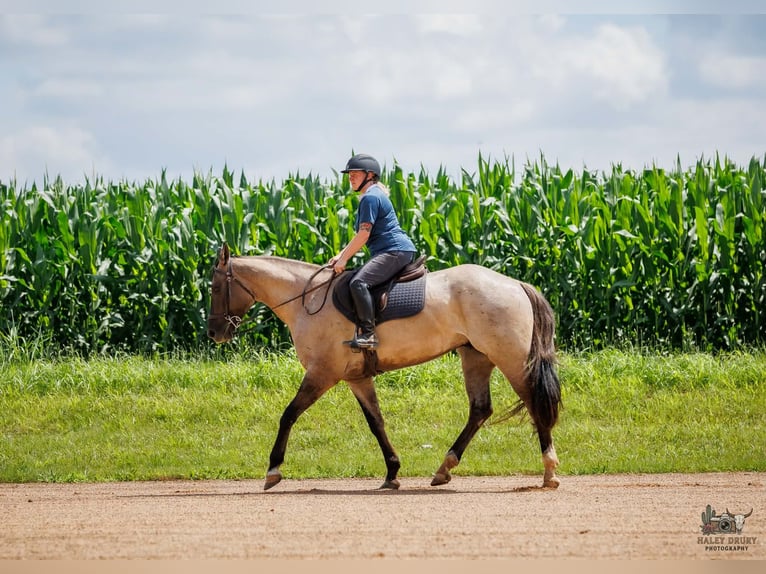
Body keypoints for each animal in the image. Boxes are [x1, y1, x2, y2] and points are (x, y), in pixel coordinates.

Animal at [207, 243, 562, 491]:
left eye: (214, 287)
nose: (214, 333)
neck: (307, 300)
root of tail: (515, 284)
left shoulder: (322, 374)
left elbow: (289, 415)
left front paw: (273, 470)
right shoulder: (356, 378)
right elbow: (376, 422)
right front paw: (392, 471)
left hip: (510, 358)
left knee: (533, 403)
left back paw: (549, 471)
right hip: (476, 357)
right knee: (480, 410)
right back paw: (444, 468)